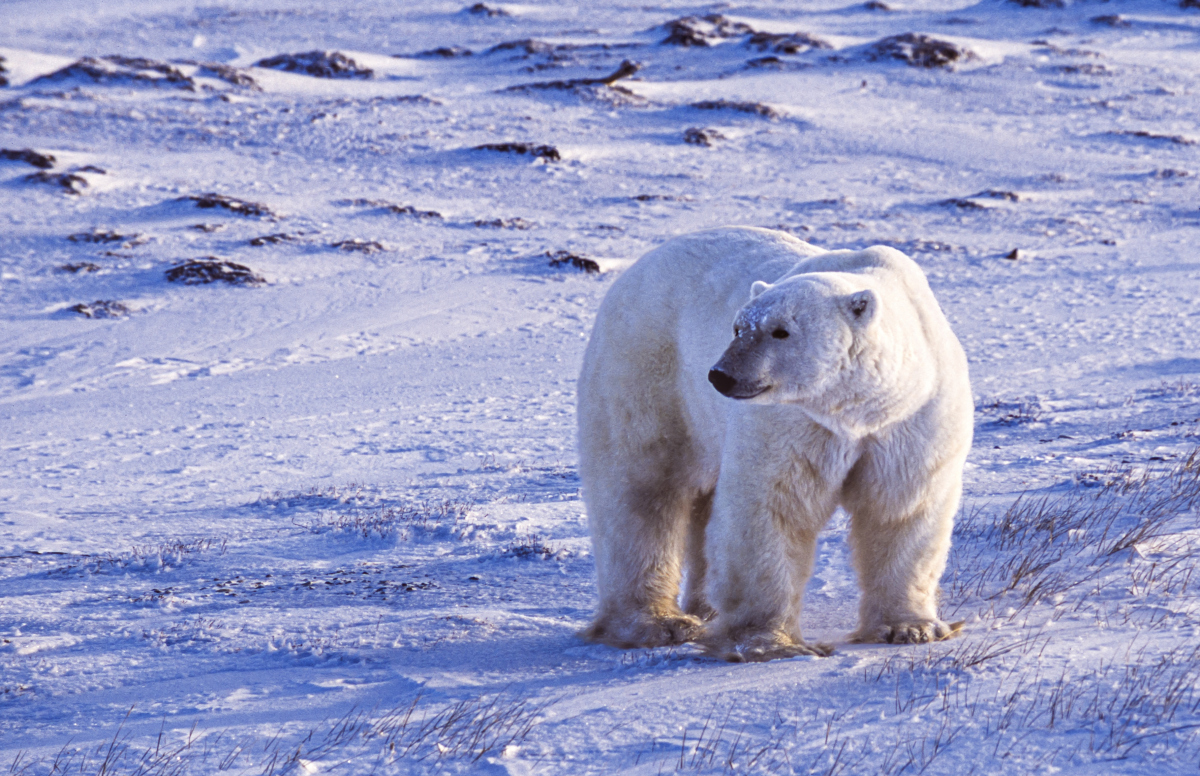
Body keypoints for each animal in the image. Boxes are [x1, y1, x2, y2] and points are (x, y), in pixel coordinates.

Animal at [573, 224, 974, 662]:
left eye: (781, 330)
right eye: (737, 327)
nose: (720, 376)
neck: (856, 409)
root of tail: (638, 266)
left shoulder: (910, 423)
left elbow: (901, 508)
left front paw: (910, 628)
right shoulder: (792, 424)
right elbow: (773, 505)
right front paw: (769, 642)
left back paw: (705, 608)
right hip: (647, 374)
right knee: (641, 490)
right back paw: (657, 623)